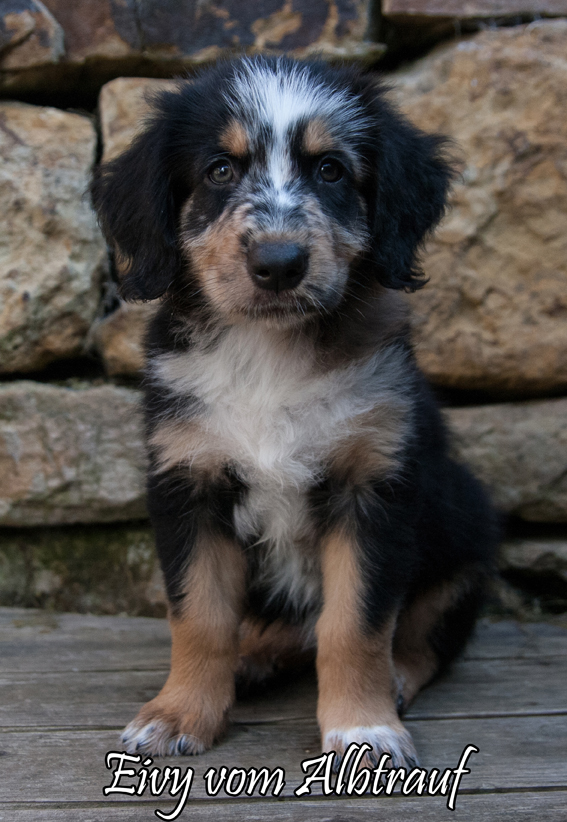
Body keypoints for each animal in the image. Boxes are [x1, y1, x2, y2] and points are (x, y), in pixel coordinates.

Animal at [92, 56, 497, 768]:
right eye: (219, 170)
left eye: (330, 169)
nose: (278, 263)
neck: (269, 353)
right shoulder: (187, 480)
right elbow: (199, 616)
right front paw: (178, 714)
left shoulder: (375, 487)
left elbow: (356, 625)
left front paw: (363, 728)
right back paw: (250, 657)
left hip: (465, 538)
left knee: (424, 636)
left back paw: (394, 679)